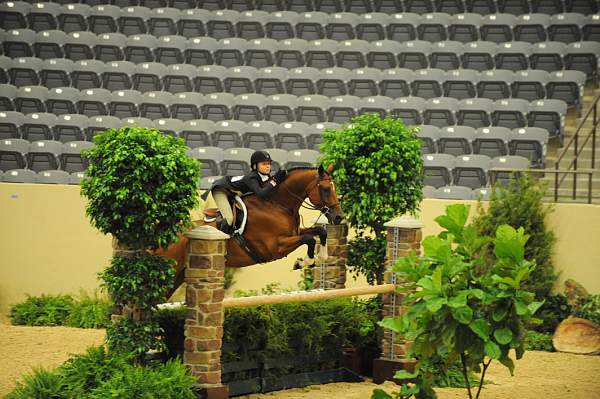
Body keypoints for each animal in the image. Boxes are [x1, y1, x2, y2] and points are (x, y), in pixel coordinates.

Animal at [158, 164, 346, 298]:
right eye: (325, 189)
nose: (338, 217)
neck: (277, 205)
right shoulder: (275, 248)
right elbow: (309, 238)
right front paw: (304, 262)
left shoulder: (294, 232)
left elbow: (320, 232)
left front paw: (321, 257)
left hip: (179, 276)